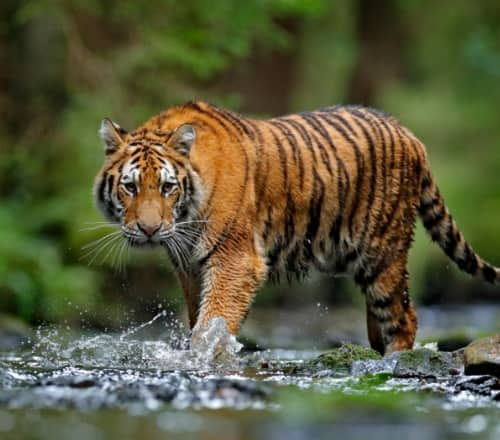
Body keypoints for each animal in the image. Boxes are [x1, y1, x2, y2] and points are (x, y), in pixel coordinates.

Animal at [94, 101, 500, 356]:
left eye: (167, 187)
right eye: (130, 186)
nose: (149, 229)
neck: (186, 218)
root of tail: (410, 135)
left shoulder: (236, 259)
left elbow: (214, 321)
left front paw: (204, 356)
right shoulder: (190, 266)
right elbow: (199, 318)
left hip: (383, 253)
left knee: (404, 318)